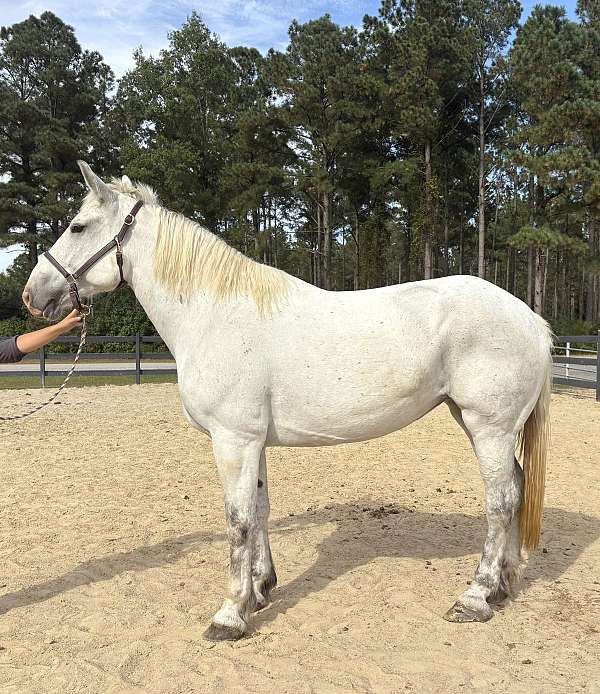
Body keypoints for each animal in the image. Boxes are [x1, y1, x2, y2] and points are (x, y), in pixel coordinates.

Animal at [23, 161, 552, 641]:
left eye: (78, 226)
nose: (31, 295)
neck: (214, 314)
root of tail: (531, 319)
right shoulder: (251, 442)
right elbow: (259, 510)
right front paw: (260, 590)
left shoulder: (232, 440)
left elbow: (236, 521)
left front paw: (229, 615)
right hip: (478, 423)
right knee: (517, 486)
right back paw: (503, 585)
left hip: (489, 427)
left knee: (501, 500)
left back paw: (475, 597)